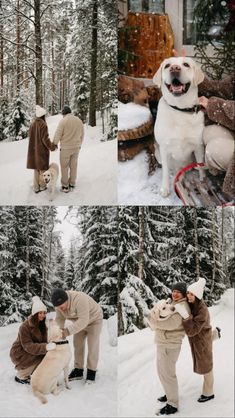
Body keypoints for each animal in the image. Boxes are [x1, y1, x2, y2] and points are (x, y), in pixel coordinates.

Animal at [153, 56, 205, 198]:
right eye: (167, 65)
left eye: (186, 64)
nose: (174, 68)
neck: (180, 109)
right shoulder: (164, 148)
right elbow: (165, 171)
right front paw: (165, 188)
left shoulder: (198, 146)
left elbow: (201, 166)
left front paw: (202, 180)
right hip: (157, 152)